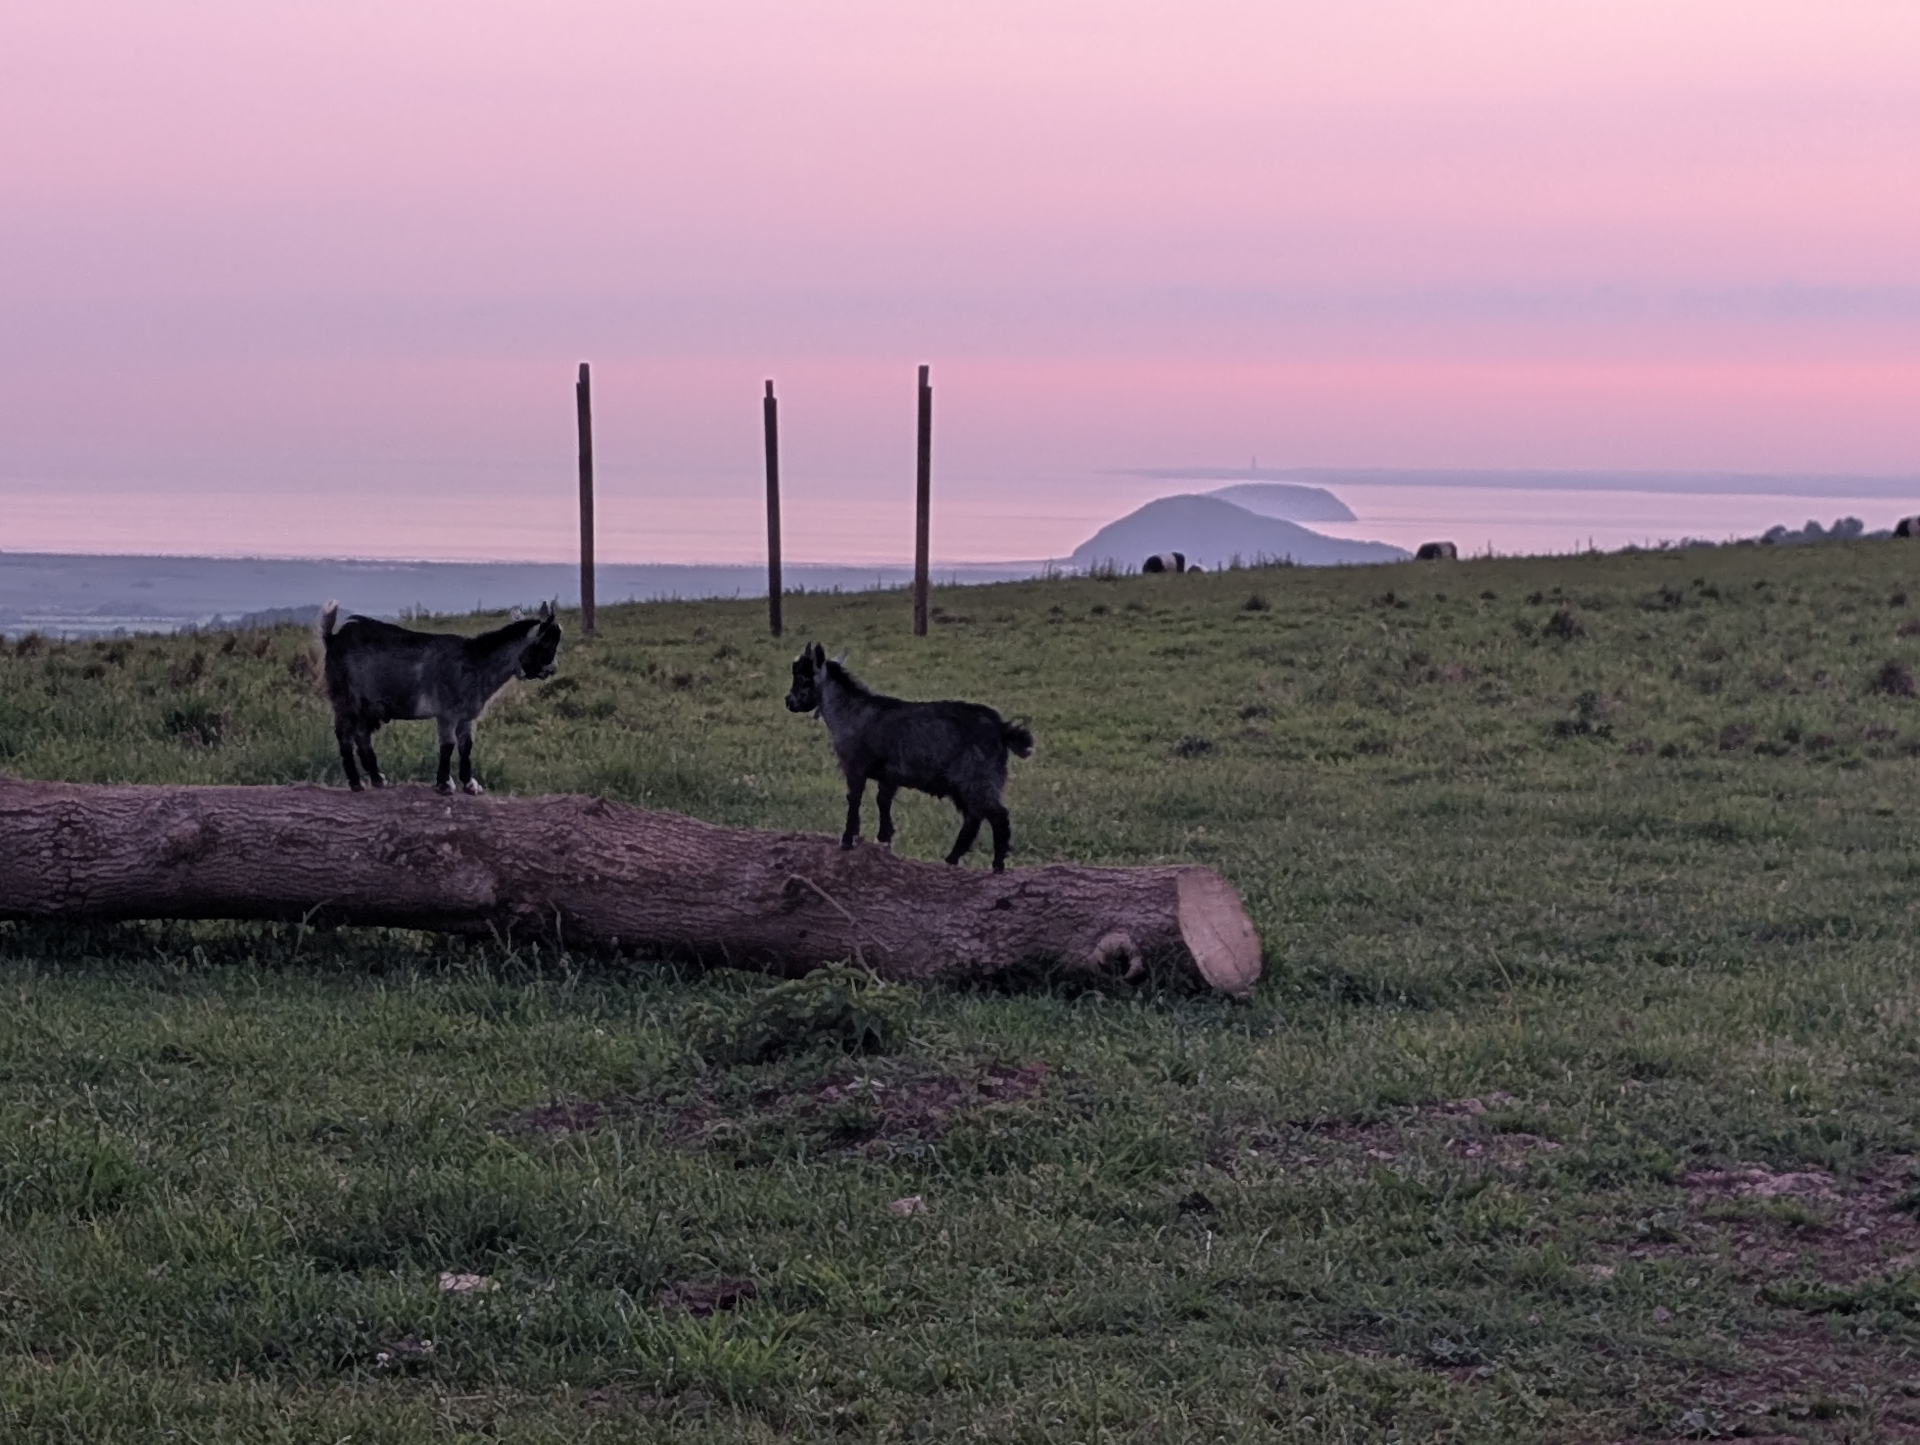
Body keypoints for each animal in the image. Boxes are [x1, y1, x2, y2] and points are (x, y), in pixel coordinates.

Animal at [318, 601, 561, 794]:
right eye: (546, 642)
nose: (552, 670)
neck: (477, 662)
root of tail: (332, 638)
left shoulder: (467, 716)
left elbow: (466, 746)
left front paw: (470, 785)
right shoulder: (447, 713)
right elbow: (448, 745)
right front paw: (445, 784)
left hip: (368, 706)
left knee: (362, 735)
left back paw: (378, 779)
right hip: (346, 699)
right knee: (344, 735)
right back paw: (356, 783)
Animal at [785, 643, 1033, 872]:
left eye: (803, 677)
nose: (789, 701)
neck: (850, 711)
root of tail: (1002, 729)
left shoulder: (855, 766)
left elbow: (854, 799)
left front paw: (847, 840)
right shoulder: (889, 776)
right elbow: (883, 801)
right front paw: (884, 839)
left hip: (977, 778)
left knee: (998, 816)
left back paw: (997, 865)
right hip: (965, 783)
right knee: (973, 819)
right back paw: (951, 859)